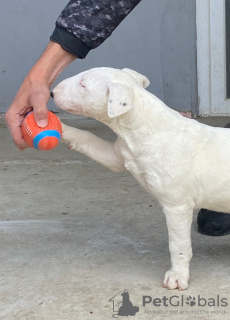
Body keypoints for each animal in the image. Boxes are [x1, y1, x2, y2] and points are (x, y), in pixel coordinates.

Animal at [51, 67, 230, 290]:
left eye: (83, 84)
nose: (51, 93)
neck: (142, 128)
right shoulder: (118, 156)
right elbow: (88, 139)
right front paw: (57, 125)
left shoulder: (177, 206)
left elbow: (178, 244)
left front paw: (177, 276)